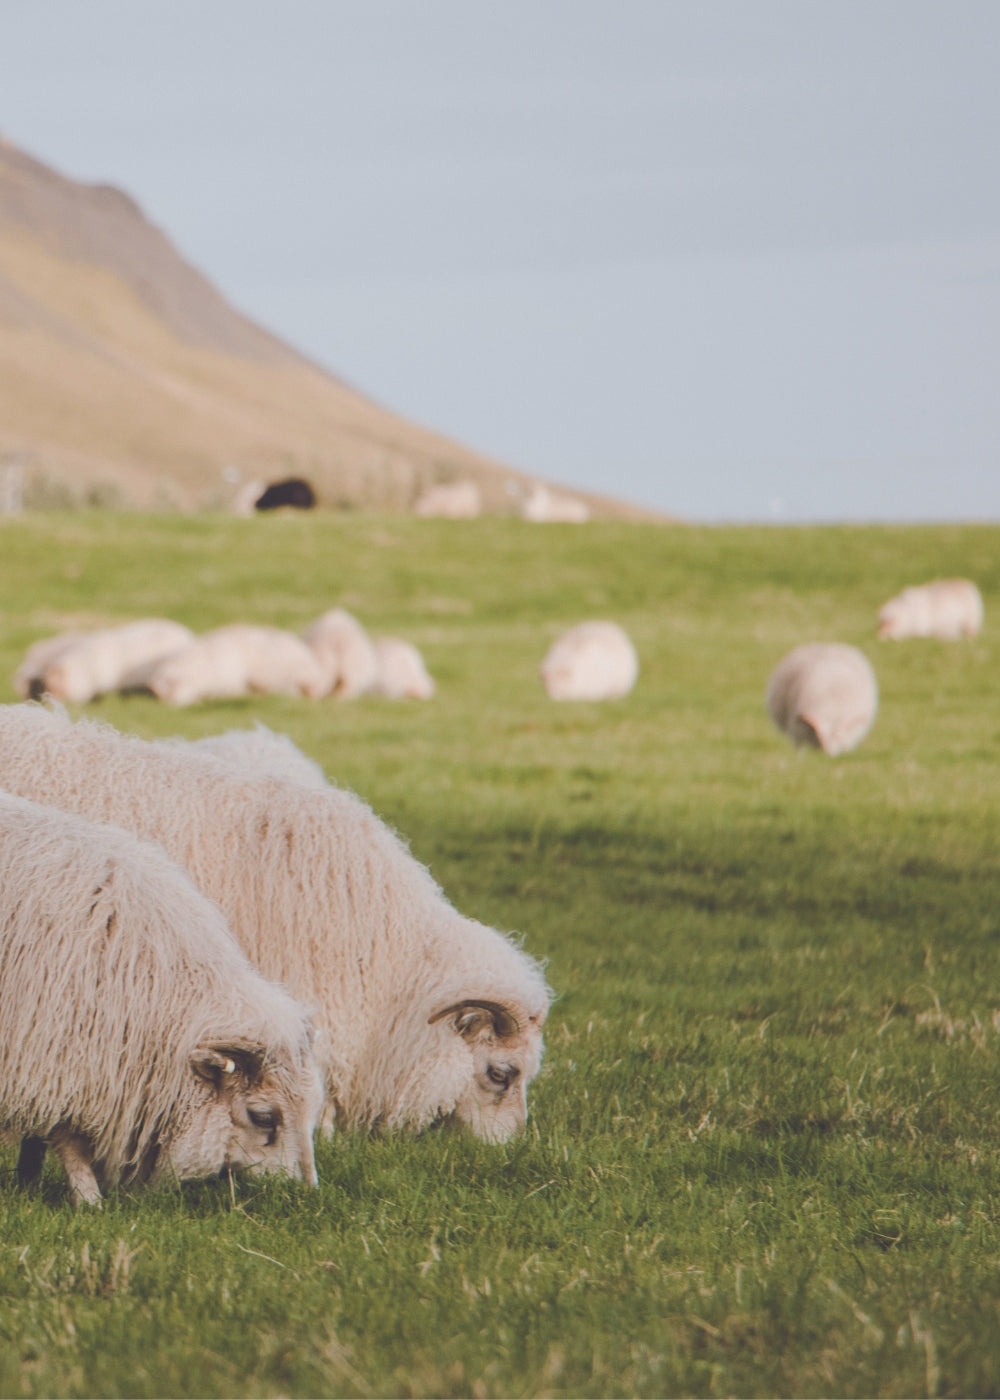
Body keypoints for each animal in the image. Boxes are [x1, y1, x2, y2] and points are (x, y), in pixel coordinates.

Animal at [0, 789, 320, 1204]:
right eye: (263, 1117)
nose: (305, 1195)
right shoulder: (53, 1050)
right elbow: (68, 1138)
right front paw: (88, 1200)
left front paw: (28, 1180)